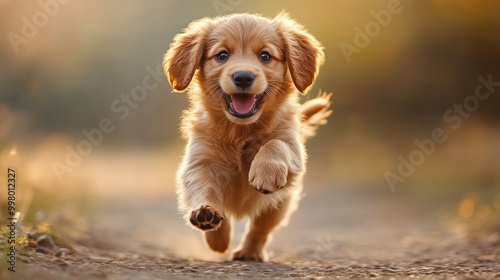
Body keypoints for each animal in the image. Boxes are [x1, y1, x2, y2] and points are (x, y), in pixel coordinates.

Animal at [163, 11, 332, 260]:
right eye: (222, 55)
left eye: (265, 56)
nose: (243, 77)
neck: (241, 131)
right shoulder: (198, 161)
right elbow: (204, 186)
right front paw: (207, 217)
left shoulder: (293, 148)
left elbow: (276, 144)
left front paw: (265, 172)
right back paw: (218, 240)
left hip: (278, 206)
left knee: (260, 229)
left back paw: (249, 252)